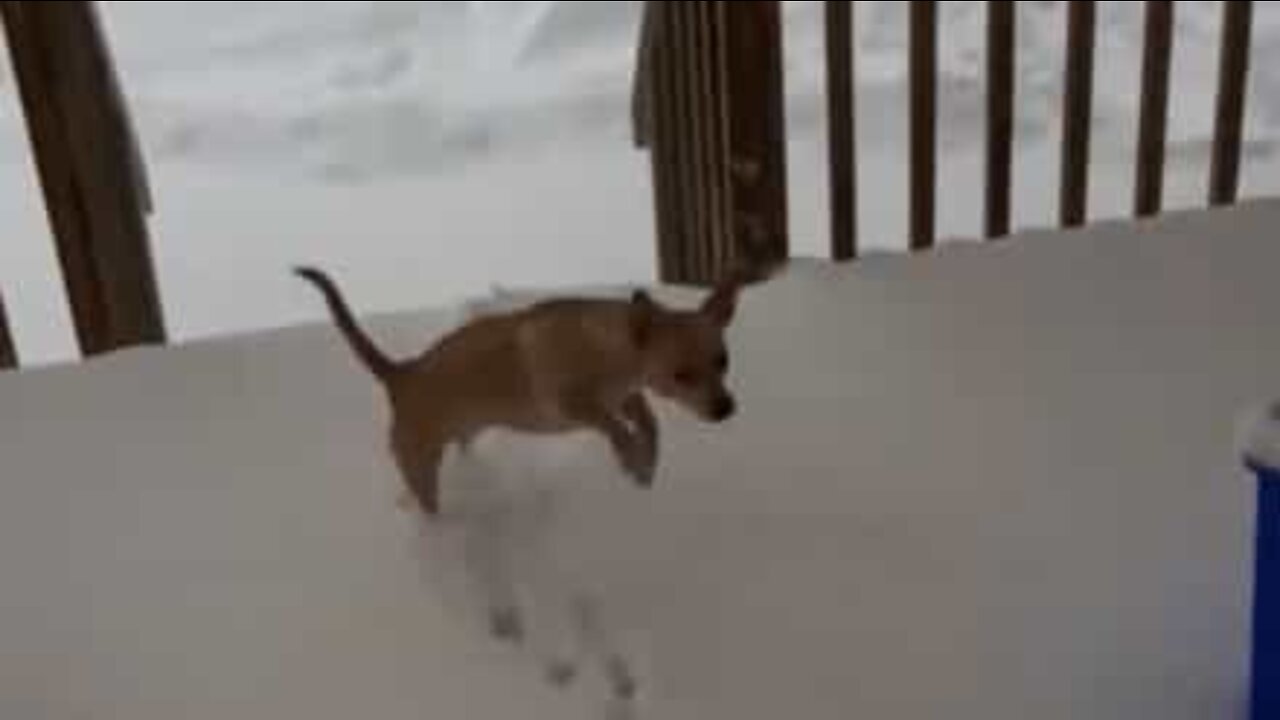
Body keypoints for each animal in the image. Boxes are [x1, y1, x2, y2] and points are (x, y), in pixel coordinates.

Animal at [294, 266, 747, 512]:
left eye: (723, 361)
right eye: (681, 375)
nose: (725, 408)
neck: (608, 348)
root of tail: (400, 373)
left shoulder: (626, 395)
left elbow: (649, 423)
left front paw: (647, 466)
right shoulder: (571, 404)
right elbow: (614, 427)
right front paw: (631, 460)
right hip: (420, 467)